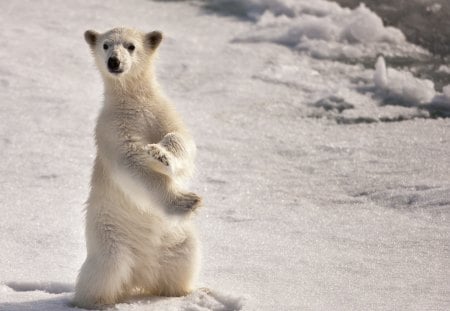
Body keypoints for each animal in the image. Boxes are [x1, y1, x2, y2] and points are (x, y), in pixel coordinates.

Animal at [73, 28, 202, 310]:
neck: (132, 101)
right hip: (110, 235)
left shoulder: (161, 111)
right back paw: (93, 302)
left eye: (131, 46)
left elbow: (181, 139)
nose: (114, 61)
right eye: (105, 45)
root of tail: (141, 275)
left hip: (177, 240)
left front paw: (161, 154)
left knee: (184, 260)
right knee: (105, 271)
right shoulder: (112, 128)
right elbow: (132, 164)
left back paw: (183, 292)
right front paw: (186, 201)